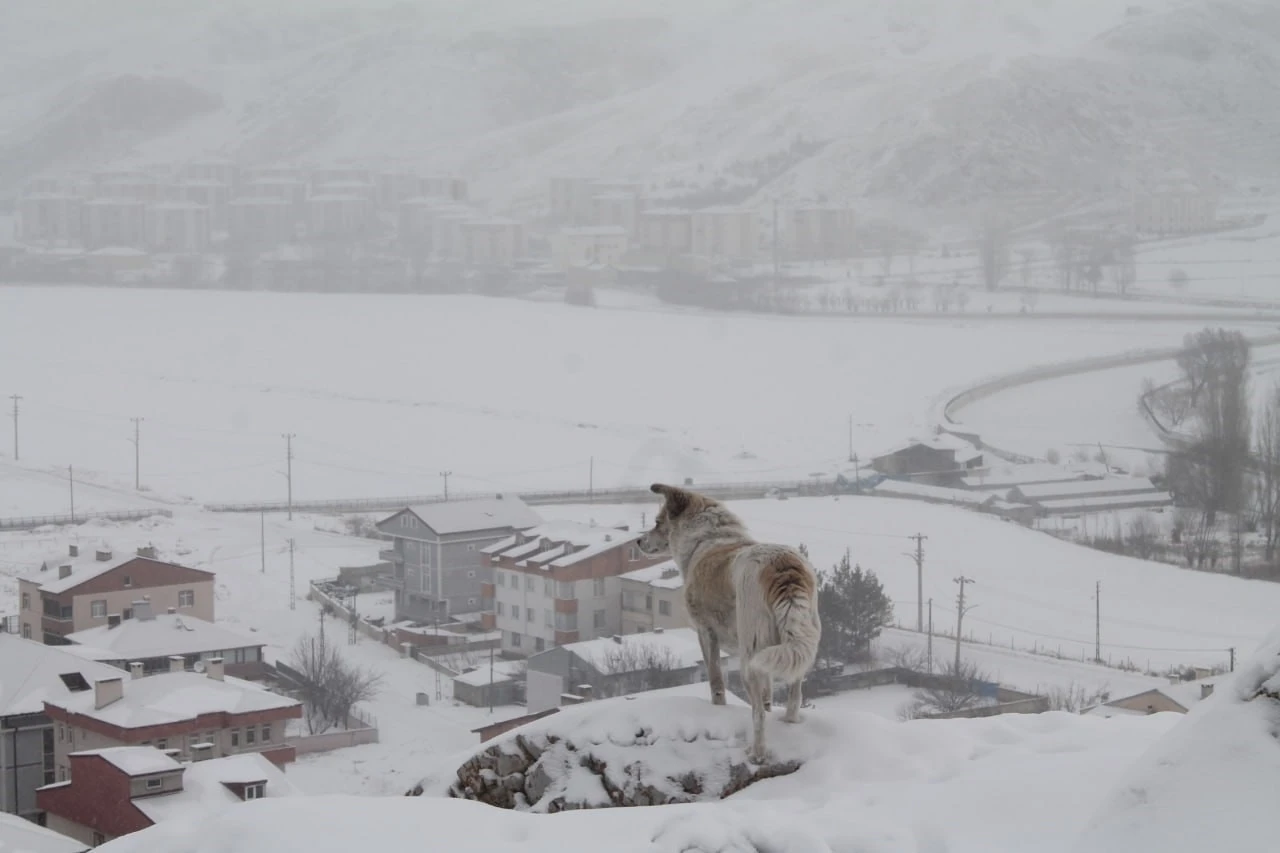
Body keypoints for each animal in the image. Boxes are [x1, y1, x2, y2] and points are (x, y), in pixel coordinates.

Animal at [637, 481, 824, 758]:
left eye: (658, 522)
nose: (638, 541)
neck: (706, 539)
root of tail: (782, 565)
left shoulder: (705, 633)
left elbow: (716, 682)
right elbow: (768, 698)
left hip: (750, 658)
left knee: (757, 715)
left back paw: (756, 752)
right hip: (796, 649)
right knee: (793, 700)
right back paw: (788, 725)